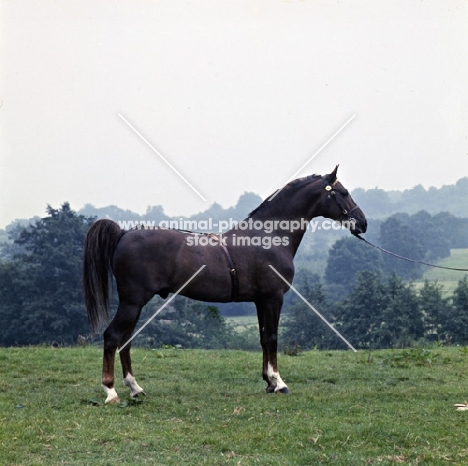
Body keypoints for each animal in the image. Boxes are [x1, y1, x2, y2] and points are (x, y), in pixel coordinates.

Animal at [82, 166, 366, 402]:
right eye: (343, 193)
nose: (362, 222)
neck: (269, 236)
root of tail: (124, 233)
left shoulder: (260, 300)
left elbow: (263, 338)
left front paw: (268, 382)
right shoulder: (273, 297)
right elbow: (272, 337)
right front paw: (279, 383)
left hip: (136, 304)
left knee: (125, 340)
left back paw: (135, 388)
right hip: (133, 301)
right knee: (112, 337)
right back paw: (111, 391)